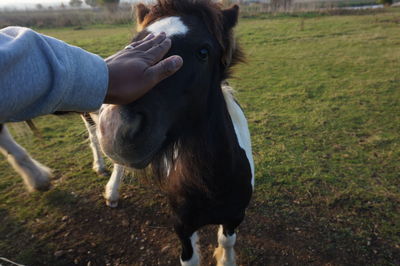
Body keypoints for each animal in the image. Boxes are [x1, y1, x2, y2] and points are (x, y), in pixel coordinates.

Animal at [97, 1, 253, 264]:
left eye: (203, 52)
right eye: (133, 44)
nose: (116, 126)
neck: (212, 183)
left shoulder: (235, 217)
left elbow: (226, 242)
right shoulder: (183, 227)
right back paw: (112, 193)